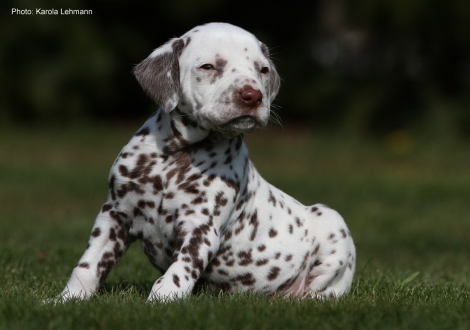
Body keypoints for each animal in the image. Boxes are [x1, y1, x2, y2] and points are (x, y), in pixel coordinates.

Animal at [56, 22, 356, 302]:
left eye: (262, 70)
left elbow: (179, 271)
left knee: (324, 289)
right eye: (209, 66)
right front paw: (67, 299)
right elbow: (89, 265)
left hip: (333, 224)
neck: (178, 155)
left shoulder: (201, 227)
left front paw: (161, 301)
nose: (253, 96)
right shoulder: (114, 214)